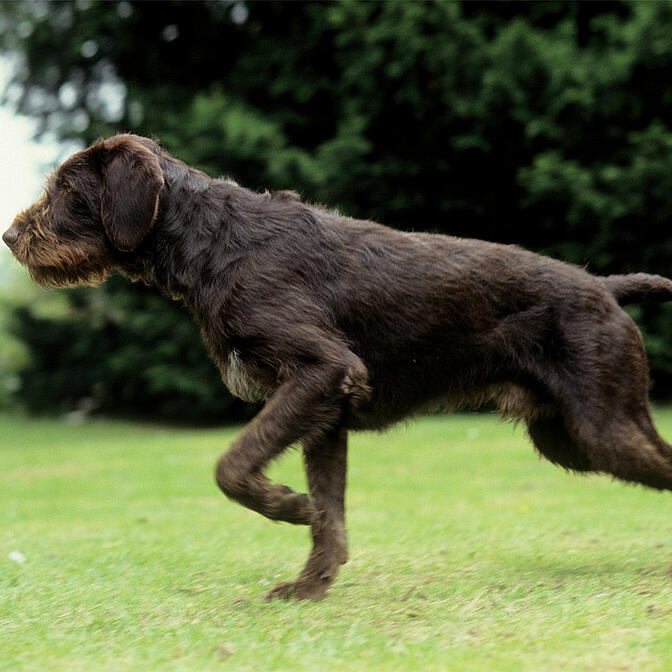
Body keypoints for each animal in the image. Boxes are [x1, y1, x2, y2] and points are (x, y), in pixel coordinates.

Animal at [3, 134, 672, 600]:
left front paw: (289, 506)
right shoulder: (325, 414)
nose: (10, 237)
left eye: (68, 192)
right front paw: (311, 585)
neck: (212, 243)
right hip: (571, 436)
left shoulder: (320, 372)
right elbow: (332, 513)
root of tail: (605, 287)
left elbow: (233, 464)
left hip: (603, 429)